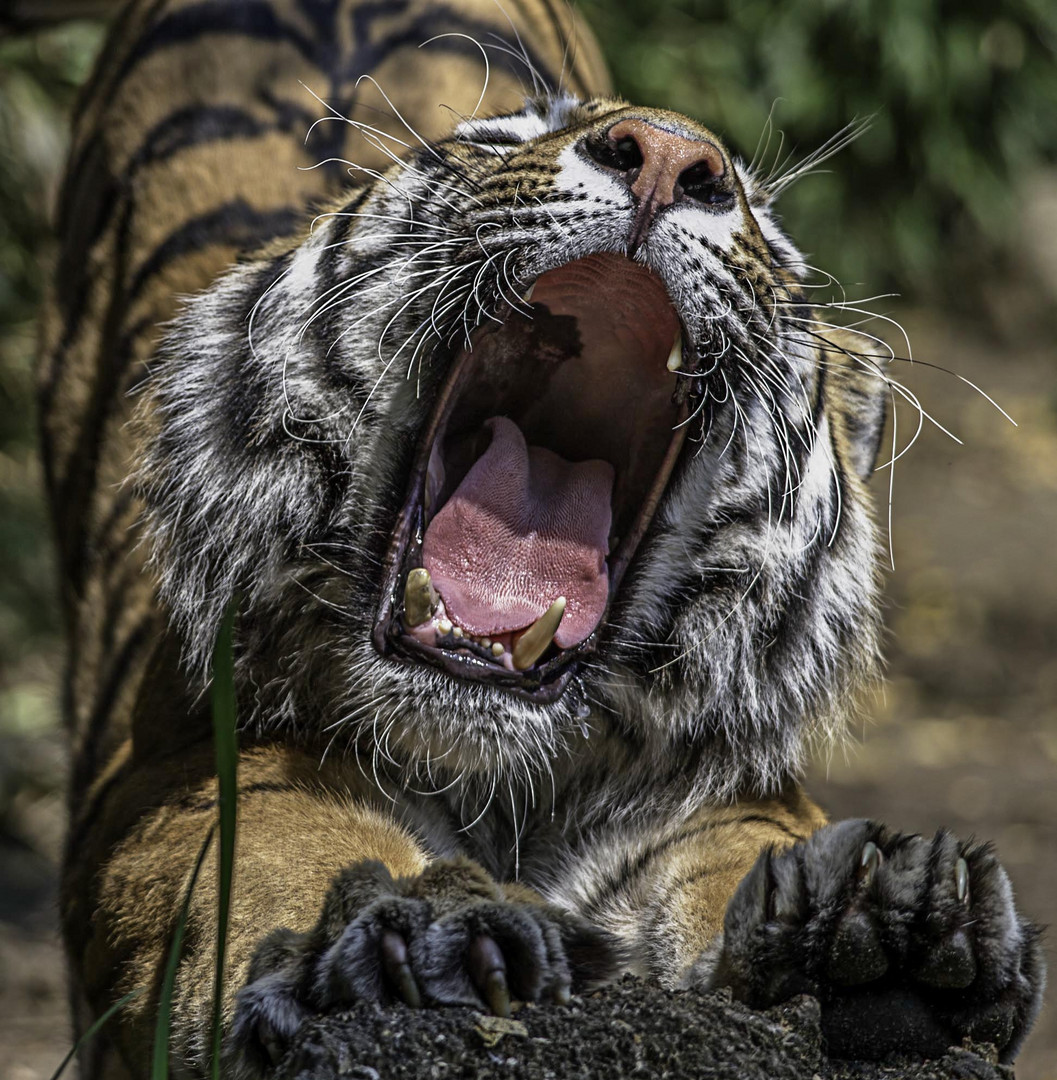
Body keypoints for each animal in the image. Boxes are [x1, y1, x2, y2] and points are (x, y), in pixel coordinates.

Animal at [39, 0, 1040, 1071]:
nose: (669, 154)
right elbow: (284, 849)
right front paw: (429, 928)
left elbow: (740, 854)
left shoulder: (718, 795)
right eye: (494, 143)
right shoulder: (194, 779)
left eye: (767, 237)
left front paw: (885, 925)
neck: (507, 782)